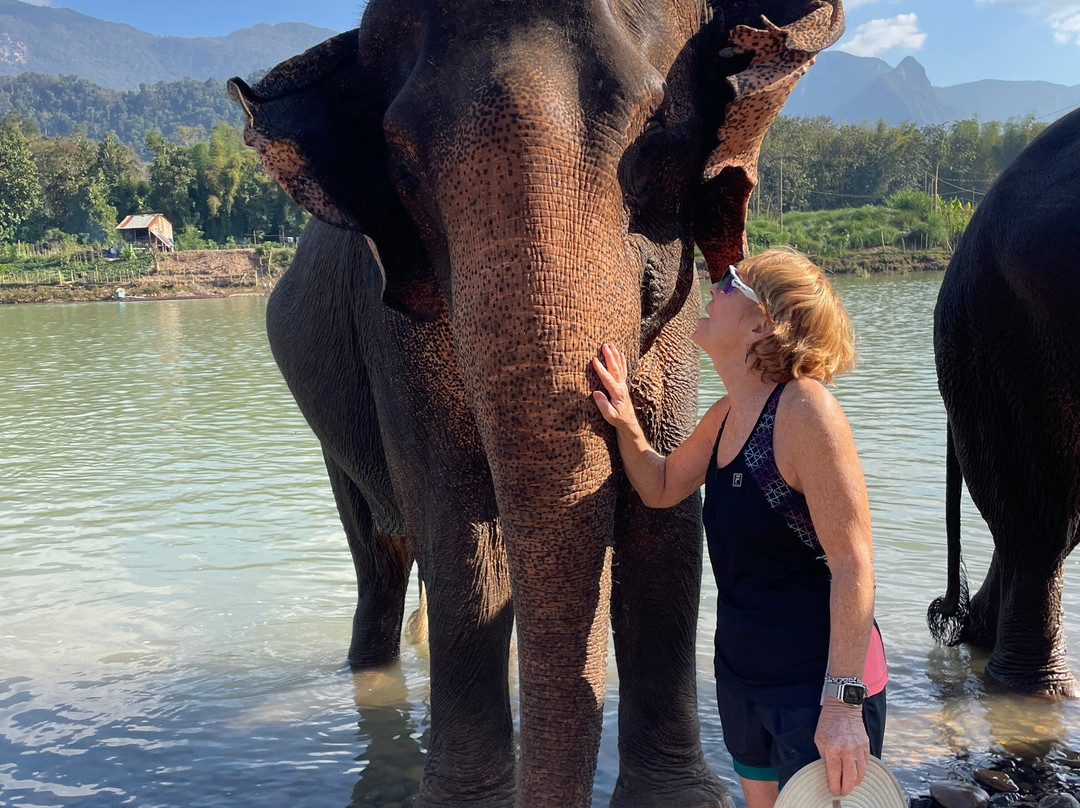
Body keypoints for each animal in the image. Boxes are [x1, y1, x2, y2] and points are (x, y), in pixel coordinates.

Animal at [226, 1, 844, 805]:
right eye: (405, 171)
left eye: (656, 143)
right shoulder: (395, 332)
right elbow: (460, 531)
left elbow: (668, 518)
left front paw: (673, 799)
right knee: (381, 554)